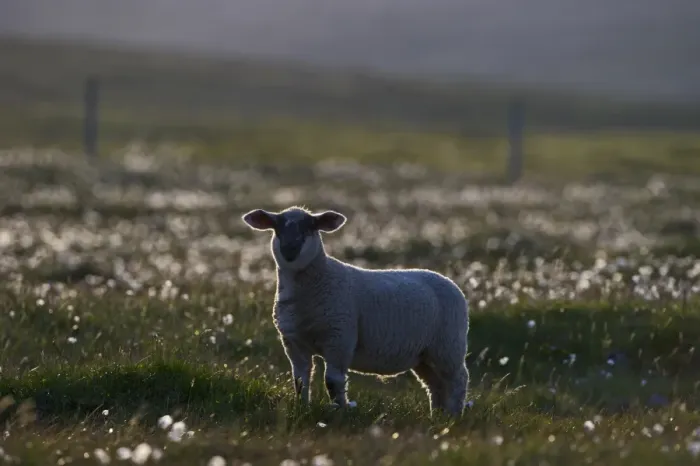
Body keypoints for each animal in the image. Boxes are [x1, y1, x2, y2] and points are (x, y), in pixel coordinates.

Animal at [241, 205, 470, 418]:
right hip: (424, 353)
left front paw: (339, 411)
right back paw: (437, 416)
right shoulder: (293, 342)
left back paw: (454, 416)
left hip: (448, 346)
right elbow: (300, 381)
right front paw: (302, 409)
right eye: (277, 227)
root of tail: (450, 282)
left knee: (458, 380)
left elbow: (333, 382)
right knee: (435, 384)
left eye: (311, 227)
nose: (290, 249)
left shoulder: (339, 338)